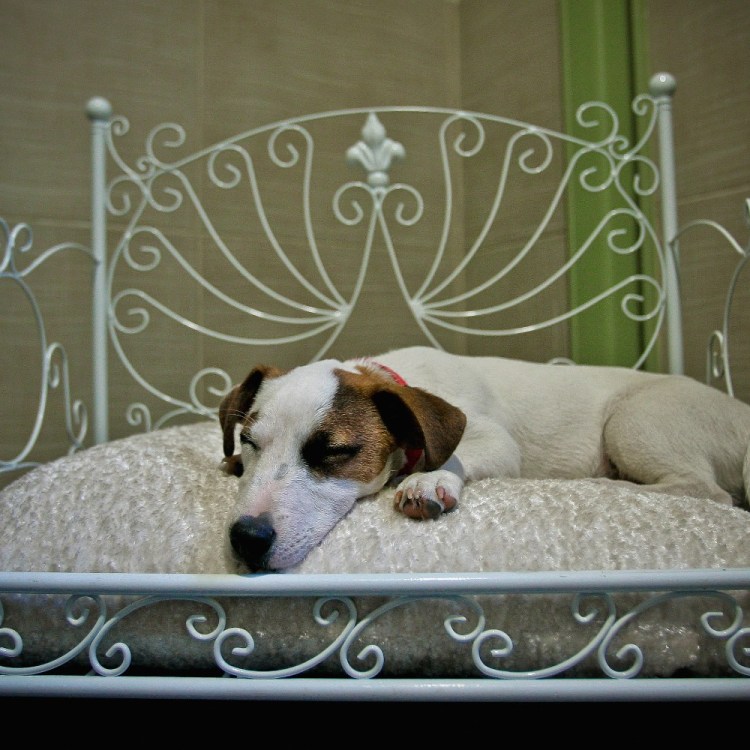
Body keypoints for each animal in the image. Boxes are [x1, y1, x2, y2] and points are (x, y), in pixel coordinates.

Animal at [217, 350, 750, 572]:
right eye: (249, 440)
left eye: (334, 452)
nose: (247, 539)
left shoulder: (494, 439)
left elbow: (456, 456)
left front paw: (429, 481)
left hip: (635, 420)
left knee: (704, 489)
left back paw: (610, 484)